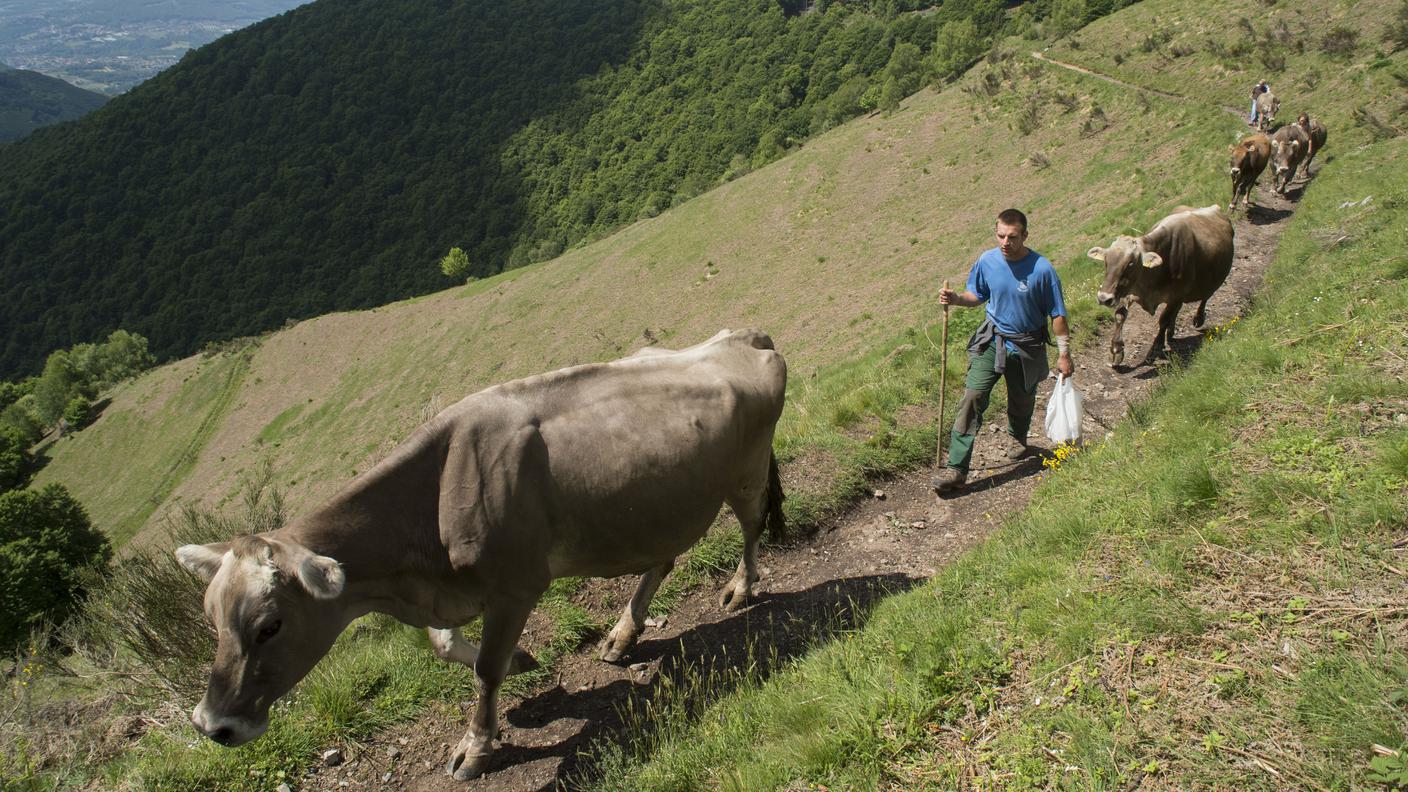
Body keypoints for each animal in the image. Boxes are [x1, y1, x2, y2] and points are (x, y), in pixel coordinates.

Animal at [174, 326, 788, 777]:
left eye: (270, 626)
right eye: (211, 618)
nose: (211, 725)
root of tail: (742, 336)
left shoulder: (516, 588)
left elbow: (486, 671)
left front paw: (477, 745)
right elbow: (446, 645)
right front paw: (523, 662)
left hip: (745, 472)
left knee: (752, 525)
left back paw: (739, 588)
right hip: (658, 506)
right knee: (663, 557)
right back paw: (623, 633)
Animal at [1086, 201, 1233, 366]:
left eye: (1131, 263)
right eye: (1106, 259)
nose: (1104, 298)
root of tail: (1214, 208)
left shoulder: (1176, 295)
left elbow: (1163, 320)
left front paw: (1156, 347)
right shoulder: (1130, 289)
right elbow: (1120, 315)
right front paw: (1116, 350)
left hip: (1212, 280)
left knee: (1205, 297)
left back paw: (1198, 319)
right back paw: (1171, 332)